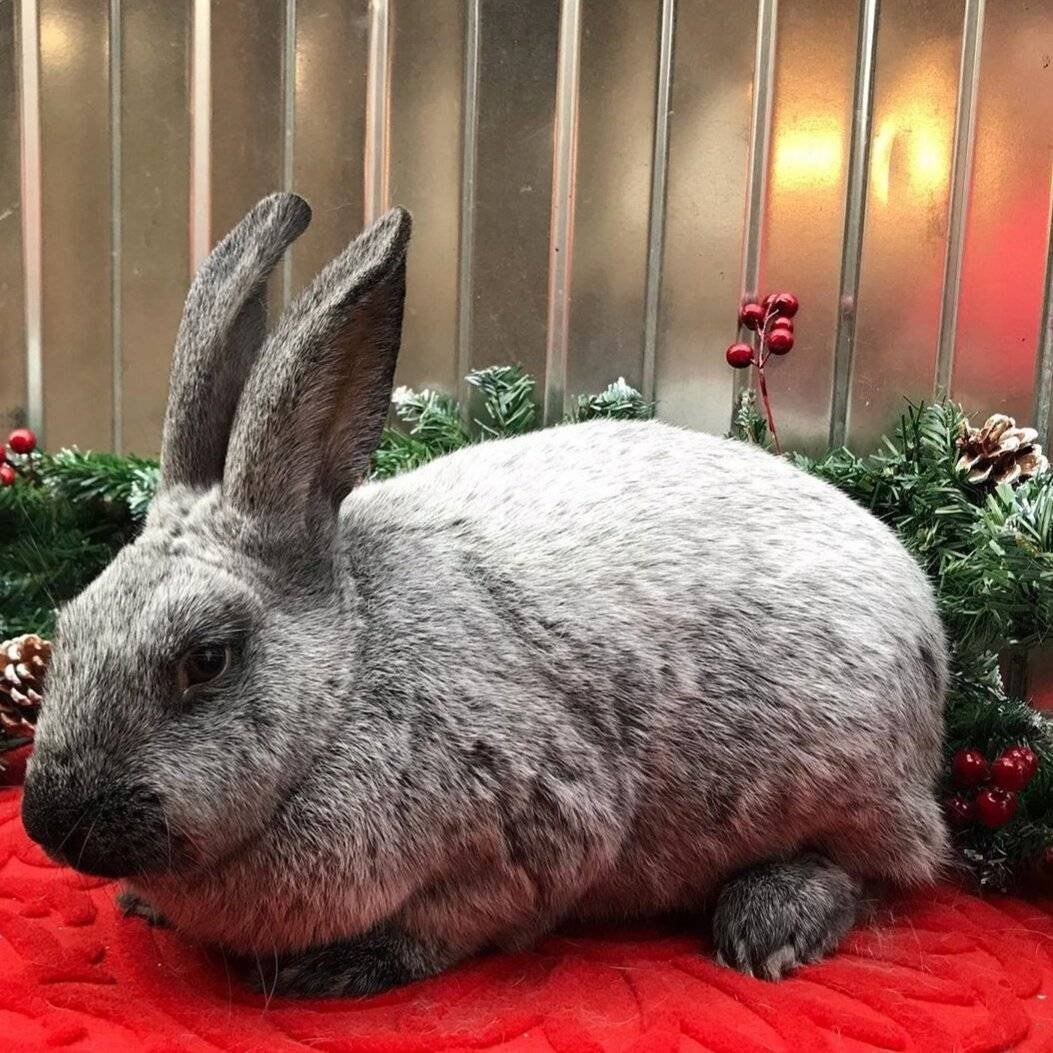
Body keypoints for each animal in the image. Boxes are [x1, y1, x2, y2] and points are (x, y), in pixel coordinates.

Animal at [21, 193, 950, 997]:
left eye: (206, 659)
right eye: (68, 623)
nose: (49, 824)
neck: (347, 680)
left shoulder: (531, 836)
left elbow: (455, 926)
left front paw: (341, 966)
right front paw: (144, 905)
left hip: (842, 775)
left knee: (881, 864)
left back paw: (767, 924)